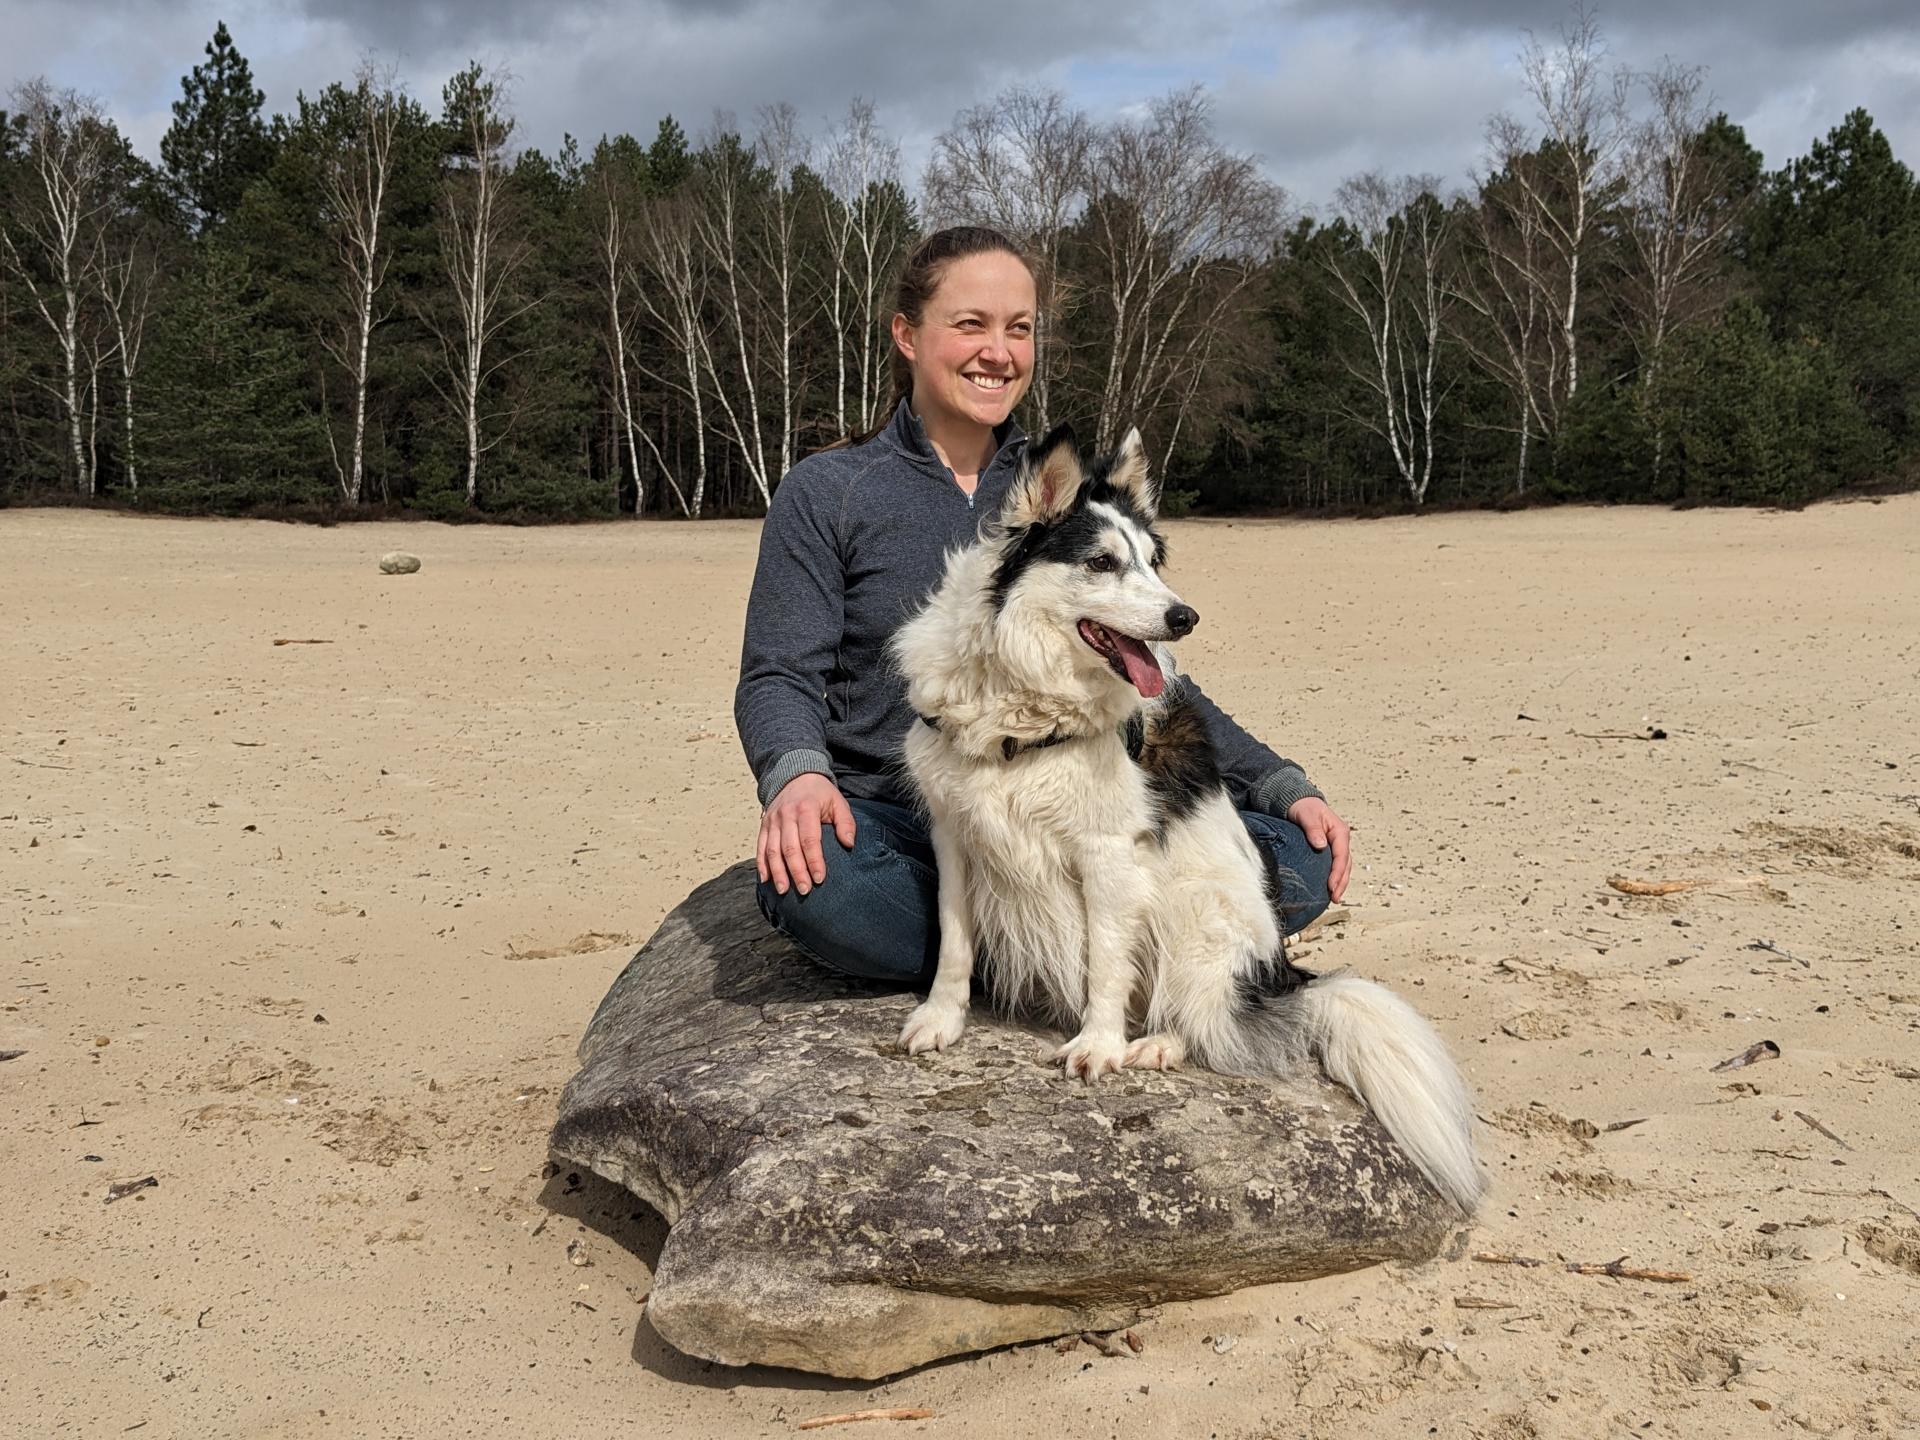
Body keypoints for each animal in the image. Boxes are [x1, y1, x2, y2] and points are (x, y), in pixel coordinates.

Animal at [887, 432, 1482, 1221]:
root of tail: (1277, 977)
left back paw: (1158, 1042)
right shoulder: (955, 832)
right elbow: (955, 941)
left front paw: (1098, 1043)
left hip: (1189, 904)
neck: (1025, 706)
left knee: (1201, 1012)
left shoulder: (1109, 854)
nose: (1184, 618)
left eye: (1152, 559)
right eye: (1102, 562)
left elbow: (1105, 963)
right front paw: (941, 1019)